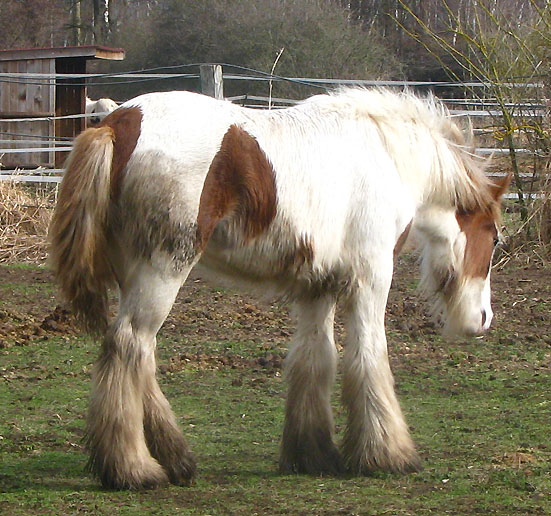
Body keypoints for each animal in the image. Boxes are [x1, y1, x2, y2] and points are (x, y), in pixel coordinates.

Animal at [49, 86, 512, 490]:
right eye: (494, 239)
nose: (483, 320)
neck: (388, 155)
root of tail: (118, 123)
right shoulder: (370, 279)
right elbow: (369, 357)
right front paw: (389, 454)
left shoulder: (318, 287)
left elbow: (315, 359)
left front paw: (313, 454)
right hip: (162, 271)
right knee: (129, 345)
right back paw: (133, 469)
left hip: (136, 277)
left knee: (139, 354)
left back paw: (176, 459)